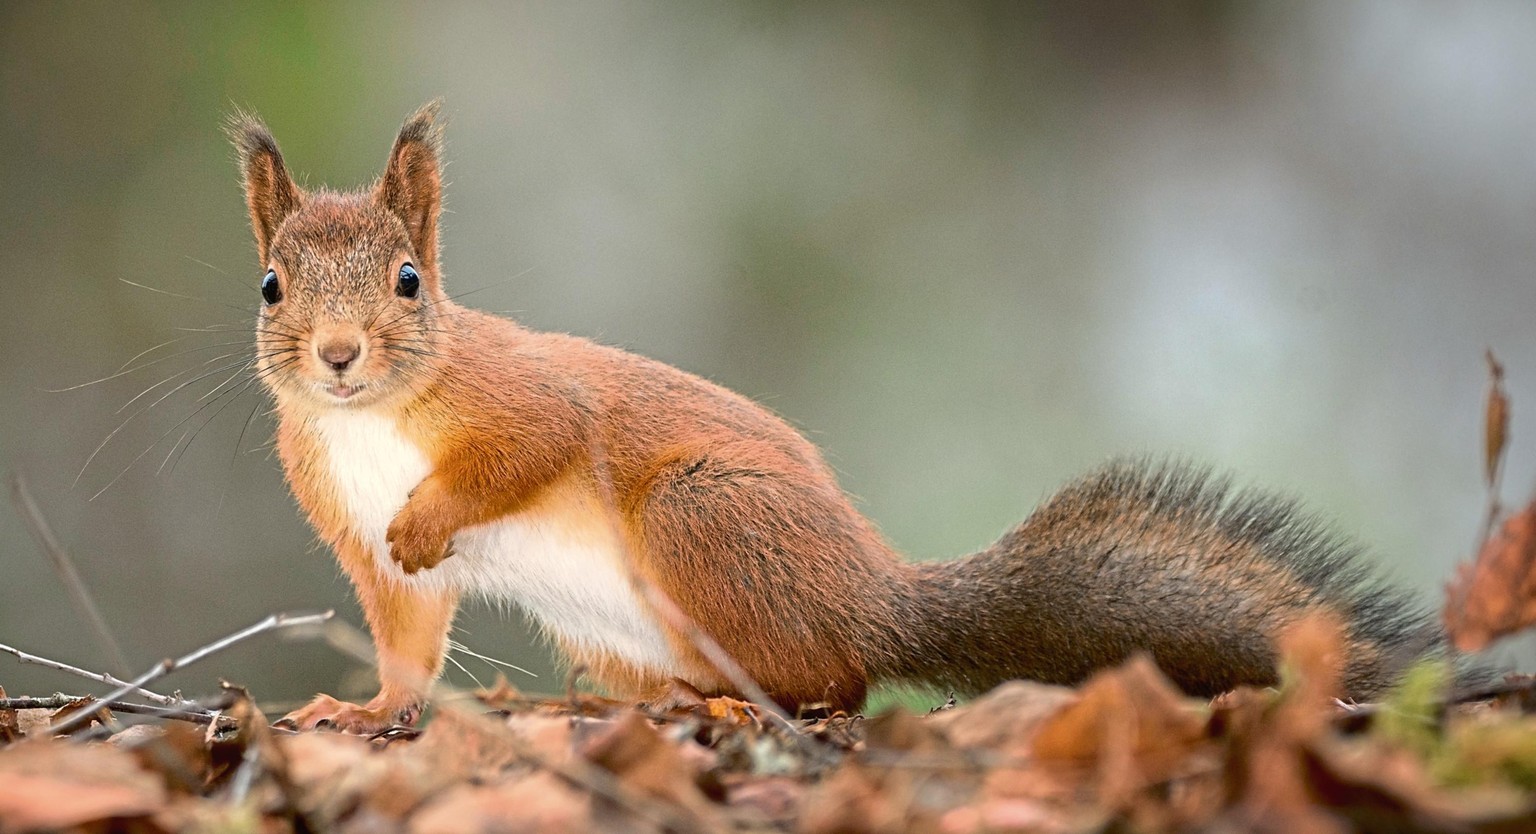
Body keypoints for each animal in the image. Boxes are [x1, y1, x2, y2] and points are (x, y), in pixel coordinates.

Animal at [229, 103, 1445, 733]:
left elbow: (531, 447)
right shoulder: (354, 535)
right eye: (272, 287)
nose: (337, 357)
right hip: (620, 629)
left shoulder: (524, 397)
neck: (371, 423)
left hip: (705, 517)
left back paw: (742, 703)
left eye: (408, 282)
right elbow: (405, 640)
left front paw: (432, 520)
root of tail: (875, 596)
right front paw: (356, 710)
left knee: (840, 682)